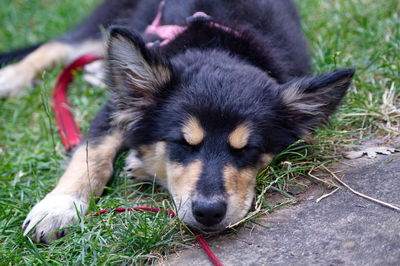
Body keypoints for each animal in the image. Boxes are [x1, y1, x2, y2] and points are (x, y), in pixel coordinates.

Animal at [0, 0, 356, 243]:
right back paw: (11, 78)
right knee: (60, 46)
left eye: (248, 149)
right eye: (181, 142)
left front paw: (141, 166)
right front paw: (58, 207)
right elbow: (92, 156)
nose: (209, 214)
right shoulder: (117, 107)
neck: (217, 47)